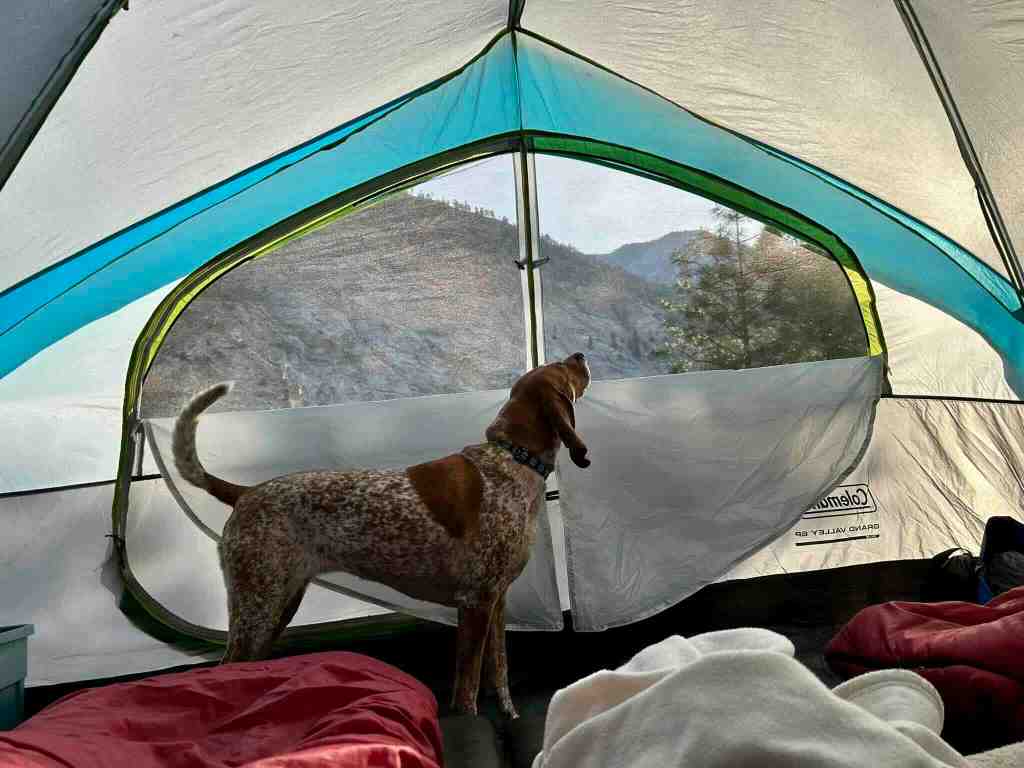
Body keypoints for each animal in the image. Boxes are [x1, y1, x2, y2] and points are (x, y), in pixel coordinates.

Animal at [171, 352, 592, 717]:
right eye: (561, 368)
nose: (580, 355)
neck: (512, 458)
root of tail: (245, 492)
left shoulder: (496, 600)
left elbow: (499, 674)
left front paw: (510, 717)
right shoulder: (475, 601)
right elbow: (467, 689)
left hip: (277, 606)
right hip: (257, 608)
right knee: (224, 669)